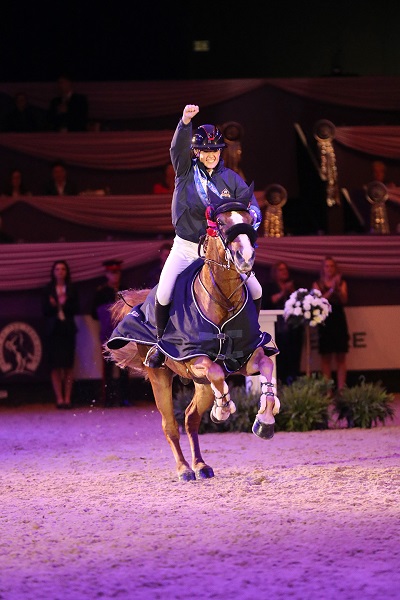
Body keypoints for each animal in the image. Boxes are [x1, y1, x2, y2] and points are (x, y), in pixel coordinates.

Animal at [106, 203, 282, 482]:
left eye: (248, 218)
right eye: (220, 223)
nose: (245, 258)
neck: (223, 301)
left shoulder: (246, 356)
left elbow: (265, 365)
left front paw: (264, 419)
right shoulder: (192, 358)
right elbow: (216, 370)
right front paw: (223, 409)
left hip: (200, 385)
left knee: (191, 419)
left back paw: (201, 465)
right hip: (160, 376)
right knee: (170, 425)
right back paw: (185, 469)